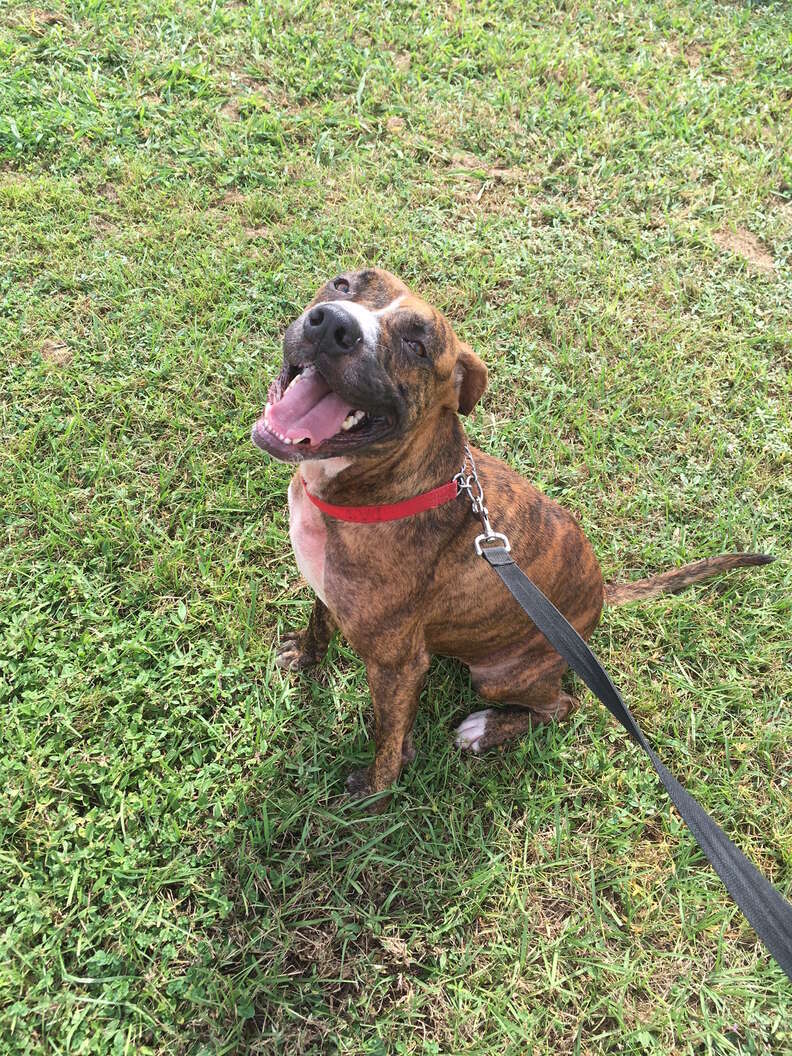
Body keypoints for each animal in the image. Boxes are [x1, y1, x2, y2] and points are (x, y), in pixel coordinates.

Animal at [254, 266, 777, 806]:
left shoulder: (399, 666)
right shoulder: (327, 592)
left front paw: (375, 789)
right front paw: (305, 656)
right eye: (343, 285)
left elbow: (389, 736)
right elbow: (320, 625)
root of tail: (601, 595)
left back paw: (486, 729)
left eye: (417, 346)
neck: (375, 488)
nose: (333, 325)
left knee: (561, 706)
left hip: (498, 676)